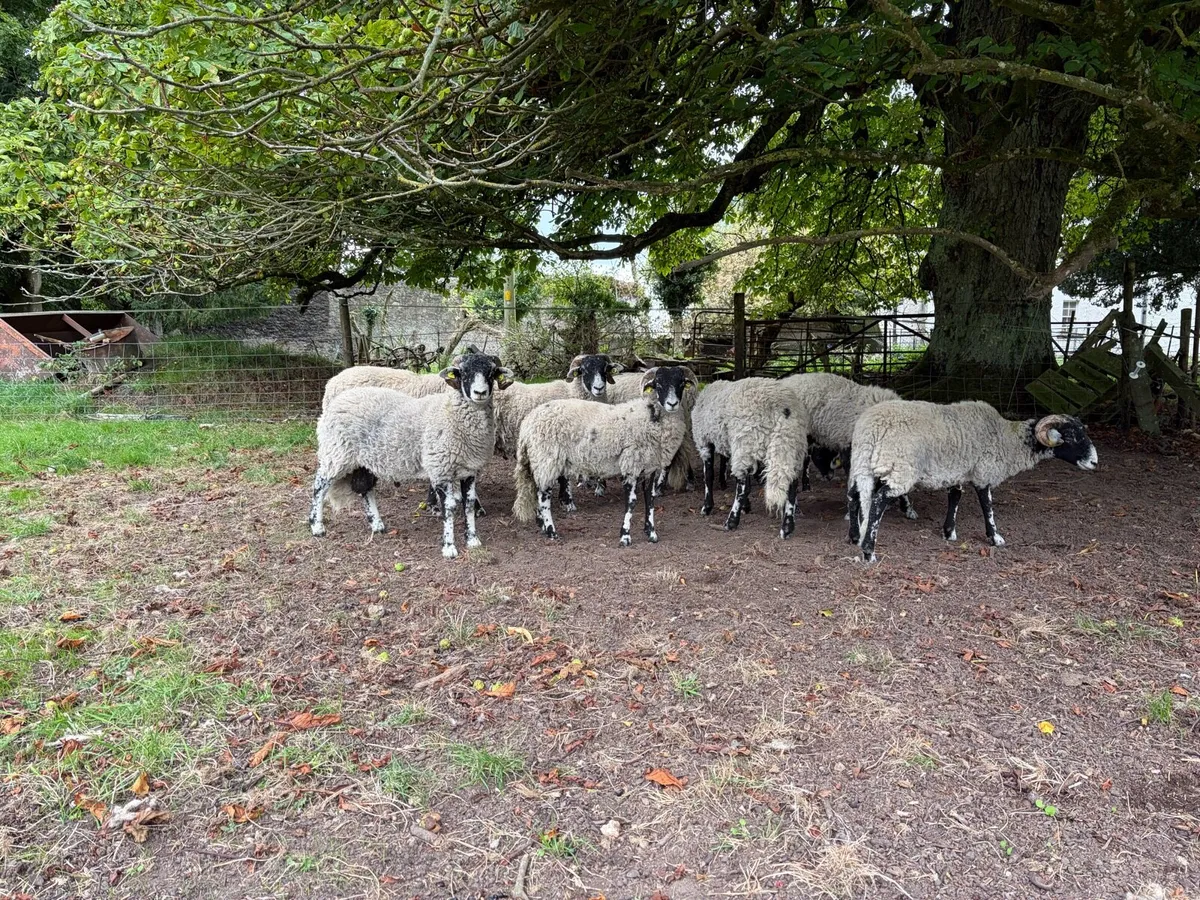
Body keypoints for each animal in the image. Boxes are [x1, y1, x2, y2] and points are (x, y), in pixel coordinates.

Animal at [308, 353, 513, 559]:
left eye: (491, 372)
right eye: (463, 373)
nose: (480, 392)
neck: (452, 414)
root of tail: (335, 396)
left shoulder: (469, 469)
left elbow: (468, 504)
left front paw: (472, 540)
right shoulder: (440, 468)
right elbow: (449, 507)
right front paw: (449, 547)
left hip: (363, 460)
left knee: (365, 488)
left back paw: (377, 525)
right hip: (336, 452)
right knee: (320, 485)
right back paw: (317, 526)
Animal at [512, 366, 697, 546]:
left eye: (681, 383)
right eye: (658, 383)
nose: (672, 404)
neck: (651, 417)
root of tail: (526, 425)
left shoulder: (650, 468)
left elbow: (650, 500)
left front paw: (651, 533)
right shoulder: (631, 464)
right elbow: (631, 502)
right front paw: (625, 536)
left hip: (539, 460)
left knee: (536, 489)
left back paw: (542, 525)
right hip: (547, 459)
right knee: (543, 496)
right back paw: (551, 531)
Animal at [691, 378, 810, 539]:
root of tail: (783, 405)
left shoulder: (704, 441)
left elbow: (708, 476)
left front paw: (707, 507)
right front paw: (746, 506)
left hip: (746, 441)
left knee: (741, 486)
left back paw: (731, 521)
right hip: (789, 444)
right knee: (791, 483)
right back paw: (786, 528)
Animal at [847, 402, 1098, 562]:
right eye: (1071, 436)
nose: (1095, 462)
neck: (1008, 438)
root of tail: (871, 428)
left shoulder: (957, 471)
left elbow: (955, 496)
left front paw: (949, 532)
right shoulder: (983, 472)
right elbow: (987, 506)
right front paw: (995, 538)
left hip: (862, 463)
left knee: (854, 495)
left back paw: (854, 537)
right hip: (899, 466)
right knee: (878, 500)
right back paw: (869, 551)